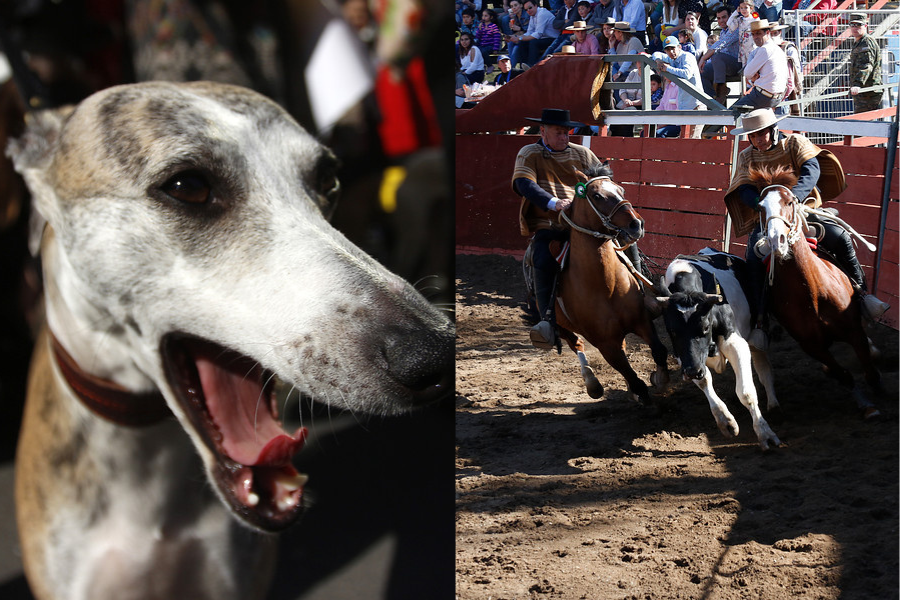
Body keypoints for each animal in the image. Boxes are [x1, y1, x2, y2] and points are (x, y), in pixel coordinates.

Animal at [528, 163, 668, 404]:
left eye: (621, 190)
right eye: (597, 196)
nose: (637, 224)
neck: (606, 285)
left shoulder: (642, 321)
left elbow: (659, 351)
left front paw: (659, 379)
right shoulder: (605, 344)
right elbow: (635, 380)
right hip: (561, 326)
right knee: (576, 344)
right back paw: (592, 383)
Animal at [652, 248, 780, 450]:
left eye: (705, 327)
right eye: (672, 330)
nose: (691, 372)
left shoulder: (735, 342)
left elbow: (746, 392)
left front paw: (764, 432)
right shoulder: (684, 357)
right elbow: (705, 381)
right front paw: (725, 421)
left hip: (756, 333)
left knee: (763, 368)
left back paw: (773, 403)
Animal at [748, 164, 884, 418]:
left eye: (789, 202)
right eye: (761, 207)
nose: (776, 240)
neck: (811, 292)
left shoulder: (854, 331)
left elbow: (869, 369)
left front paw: (877, 393)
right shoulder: (811, 345)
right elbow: (844, 374)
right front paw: (866, 404)